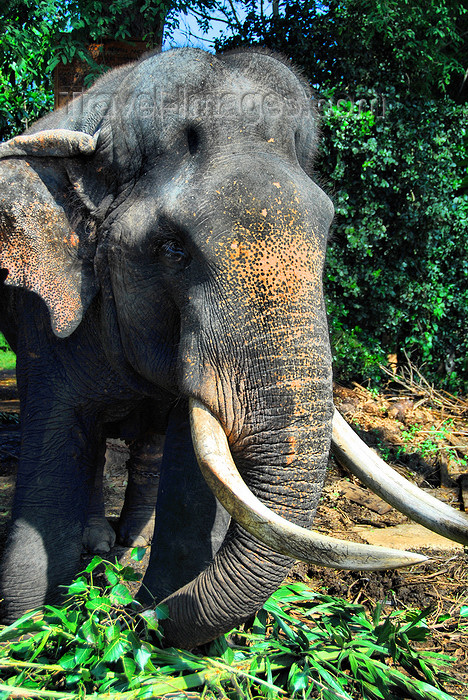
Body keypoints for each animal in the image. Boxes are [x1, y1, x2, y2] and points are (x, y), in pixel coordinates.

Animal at [0, 47, 468, 652]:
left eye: (327, 234)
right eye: (172, 248)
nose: (133, 619)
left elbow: (189, 470)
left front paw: (151, 612)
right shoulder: (46, 316)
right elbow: (55, 452)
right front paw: (28, 632)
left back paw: (129, 552)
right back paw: (105, 551)